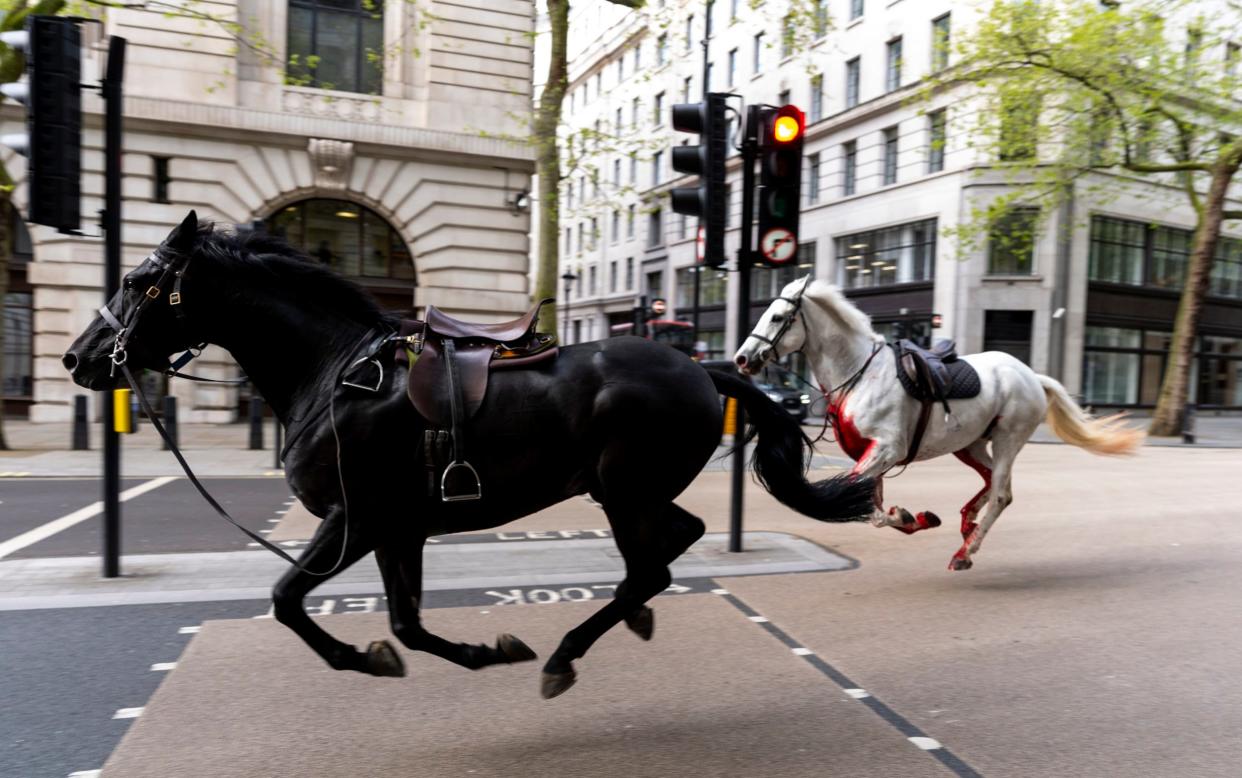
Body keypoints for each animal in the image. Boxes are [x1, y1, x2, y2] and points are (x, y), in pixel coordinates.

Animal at [60, 210, 874, 695]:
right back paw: (626, 619)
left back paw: (567, 653)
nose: (78, 358)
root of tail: (702, 368)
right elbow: (405, 624)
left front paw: (365, 657)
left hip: (623, 491)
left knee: (653, 564)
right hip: (628, 491)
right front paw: (474, 652)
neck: (334, 372)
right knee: (674, 545)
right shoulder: (397, 529)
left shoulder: (356, 519)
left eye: (136, 280)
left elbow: (289, 599)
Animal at [725, 275, 1142, 566]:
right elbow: (873, 508)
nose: (742, 359)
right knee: (991, 482)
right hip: (970, 444)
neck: (861, 373)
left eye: (778, 316)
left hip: (1008, 438)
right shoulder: (874, 455)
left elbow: (868, 507)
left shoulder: (886, 449)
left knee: (1002, 493)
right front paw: (914, 517)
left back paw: (965, 552)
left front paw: (910, 516)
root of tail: (1030, 375)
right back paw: (967, 524)